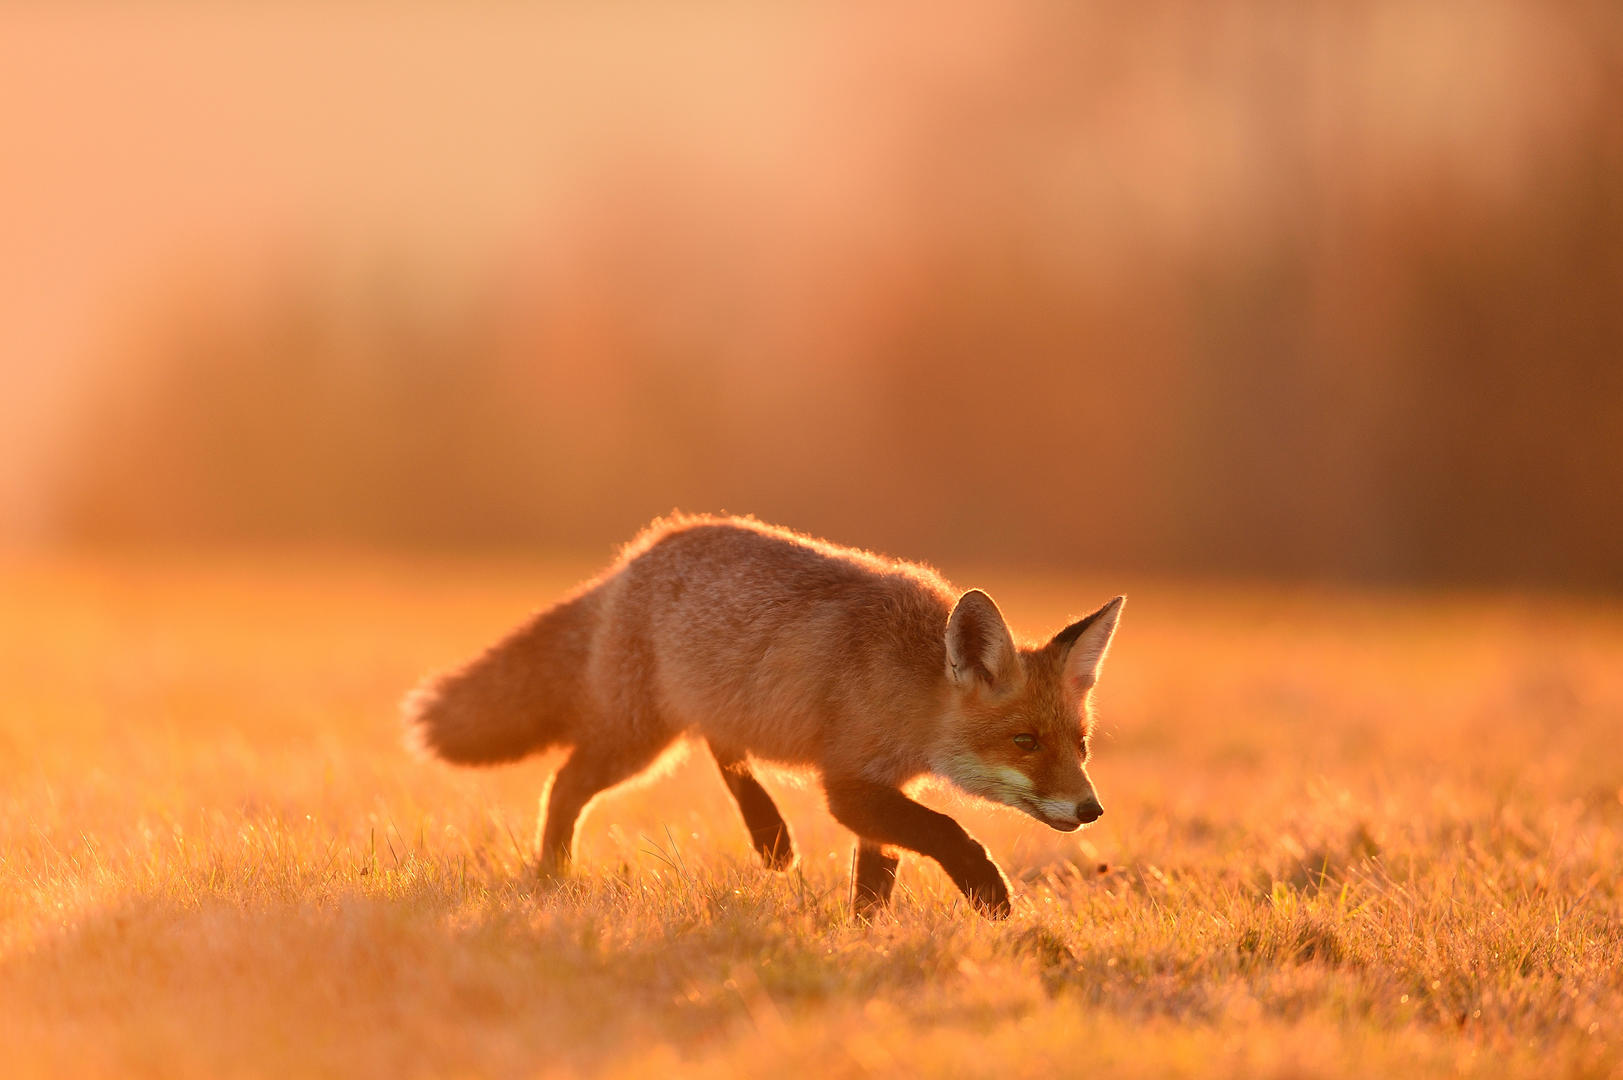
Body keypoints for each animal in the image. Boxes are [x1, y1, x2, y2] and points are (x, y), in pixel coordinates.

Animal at [402, 513, 1129, 915]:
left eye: (1081, 745)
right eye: (1025, 741)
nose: (1092, 809)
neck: (909, 686)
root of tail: (639, 551)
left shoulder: (882, 788)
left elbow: (879, 875)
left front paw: (864, 939)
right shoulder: (848, 783)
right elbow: (947, 829)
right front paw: (987, 892)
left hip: (708, 710)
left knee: (723, 747)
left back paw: (768, 835)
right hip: (638, 740)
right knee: (565, 784)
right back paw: (552, 876)